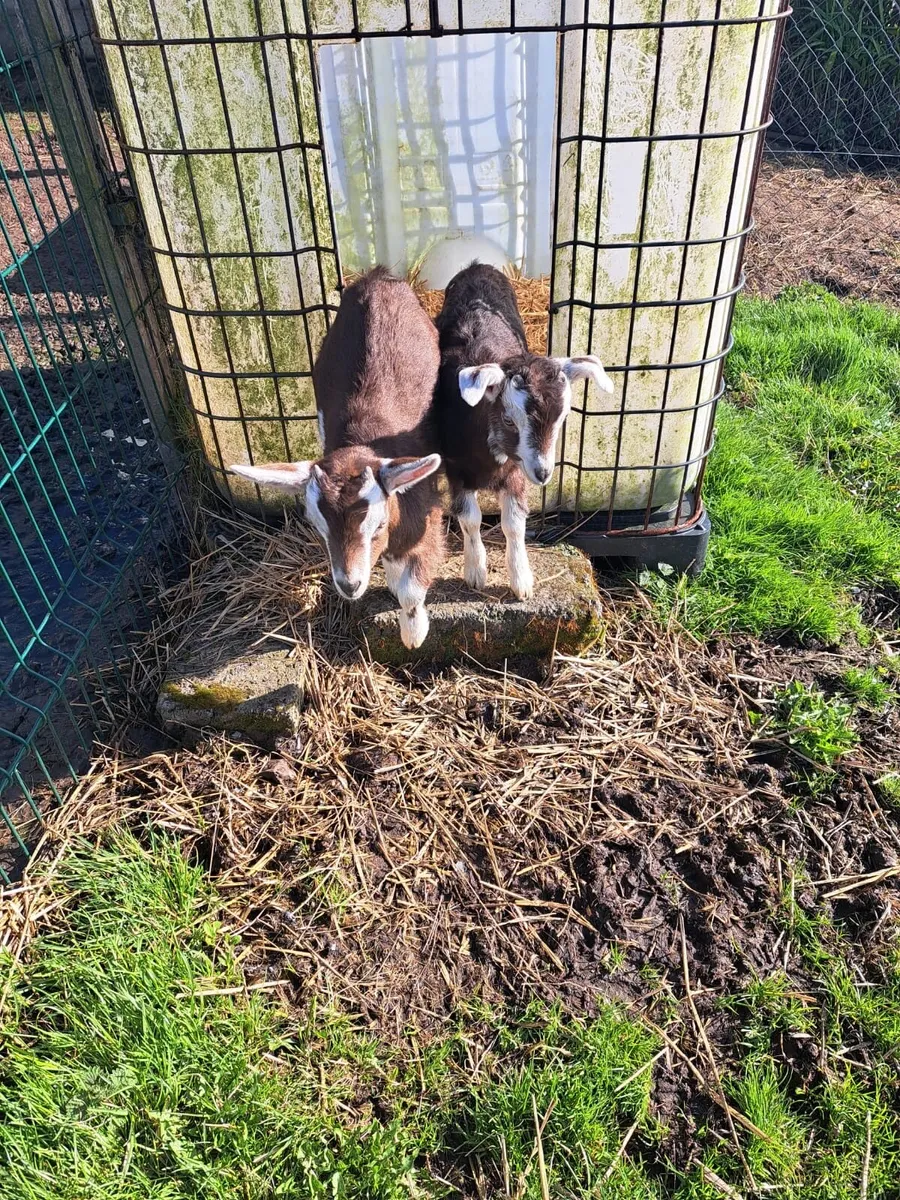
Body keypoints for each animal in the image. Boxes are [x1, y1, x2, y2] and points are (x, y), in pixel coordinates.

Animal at [229, 267, 444, 650]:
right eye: (318, 526)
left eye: (378, 525)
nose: (350, 584)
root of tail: (377, 278)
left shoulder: (425, 507)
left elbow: (412, 582)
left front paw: (413, 635)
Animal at [434, 263, 612, 599]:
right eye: (508, 420)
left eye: (562, 418)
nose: (542, 473)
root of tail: (477, 266)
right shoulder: (456, 469)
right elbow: (470, 519)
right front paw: (475, 572)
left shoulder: (516, 472)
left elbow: (514, 524)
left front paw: (522, 582)